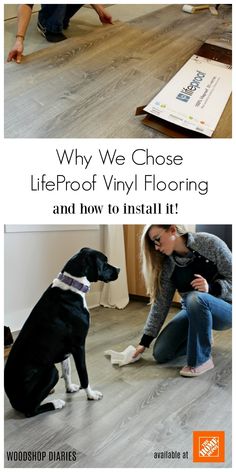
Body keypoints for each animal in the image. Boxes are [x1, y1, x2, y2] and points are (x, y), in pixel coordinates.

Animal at [4, 247, 120, 416]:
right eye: (104, 262)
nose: (119, 269)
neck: (73, 285)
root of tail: (13, 400)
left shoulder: (66, 350)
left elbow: (67, 370)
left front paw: (70, 388)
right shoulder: (79, 346)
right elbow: (84, 375)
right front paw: (91, 395)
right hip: (51, 371)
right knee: (30, 410)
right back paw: (55, 403)